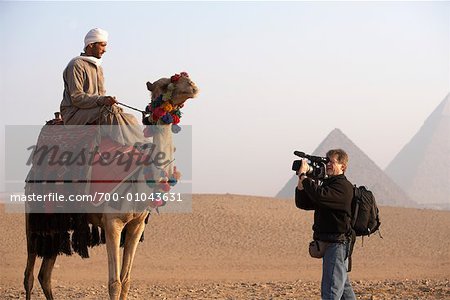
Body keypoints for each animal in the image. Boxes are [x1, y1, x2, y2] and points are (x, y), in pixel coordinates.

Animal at [23, 73, 199, 300]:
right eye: (166, 84)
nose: (192, 86)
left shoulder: (136, 226)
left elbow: (126, 281)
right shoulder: (112, 223)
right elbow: (114, 283)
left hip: (57, 220)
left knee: (45, 274)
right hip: (34, 213)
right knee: (29, 274)